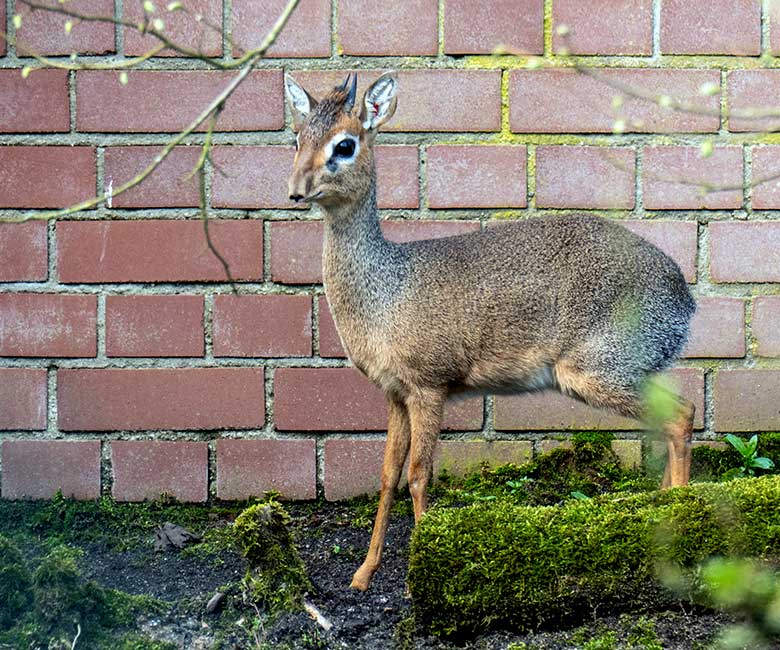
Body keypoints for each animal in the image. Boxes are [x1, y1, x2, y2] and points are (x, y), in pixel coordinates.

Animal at [284, 72, 696, 592]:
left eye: (345, 144)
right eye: (297, 137)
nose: (296, 189)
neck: (385, 290)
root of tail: (685, 298)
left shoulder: (429, 386)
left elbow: (419, 475)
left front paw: (424, 575)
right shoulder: (395, 393)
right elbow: (387, 475)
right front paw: (363, 574)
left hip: (595, 371)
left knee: (682, 416)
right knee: (673, 421)